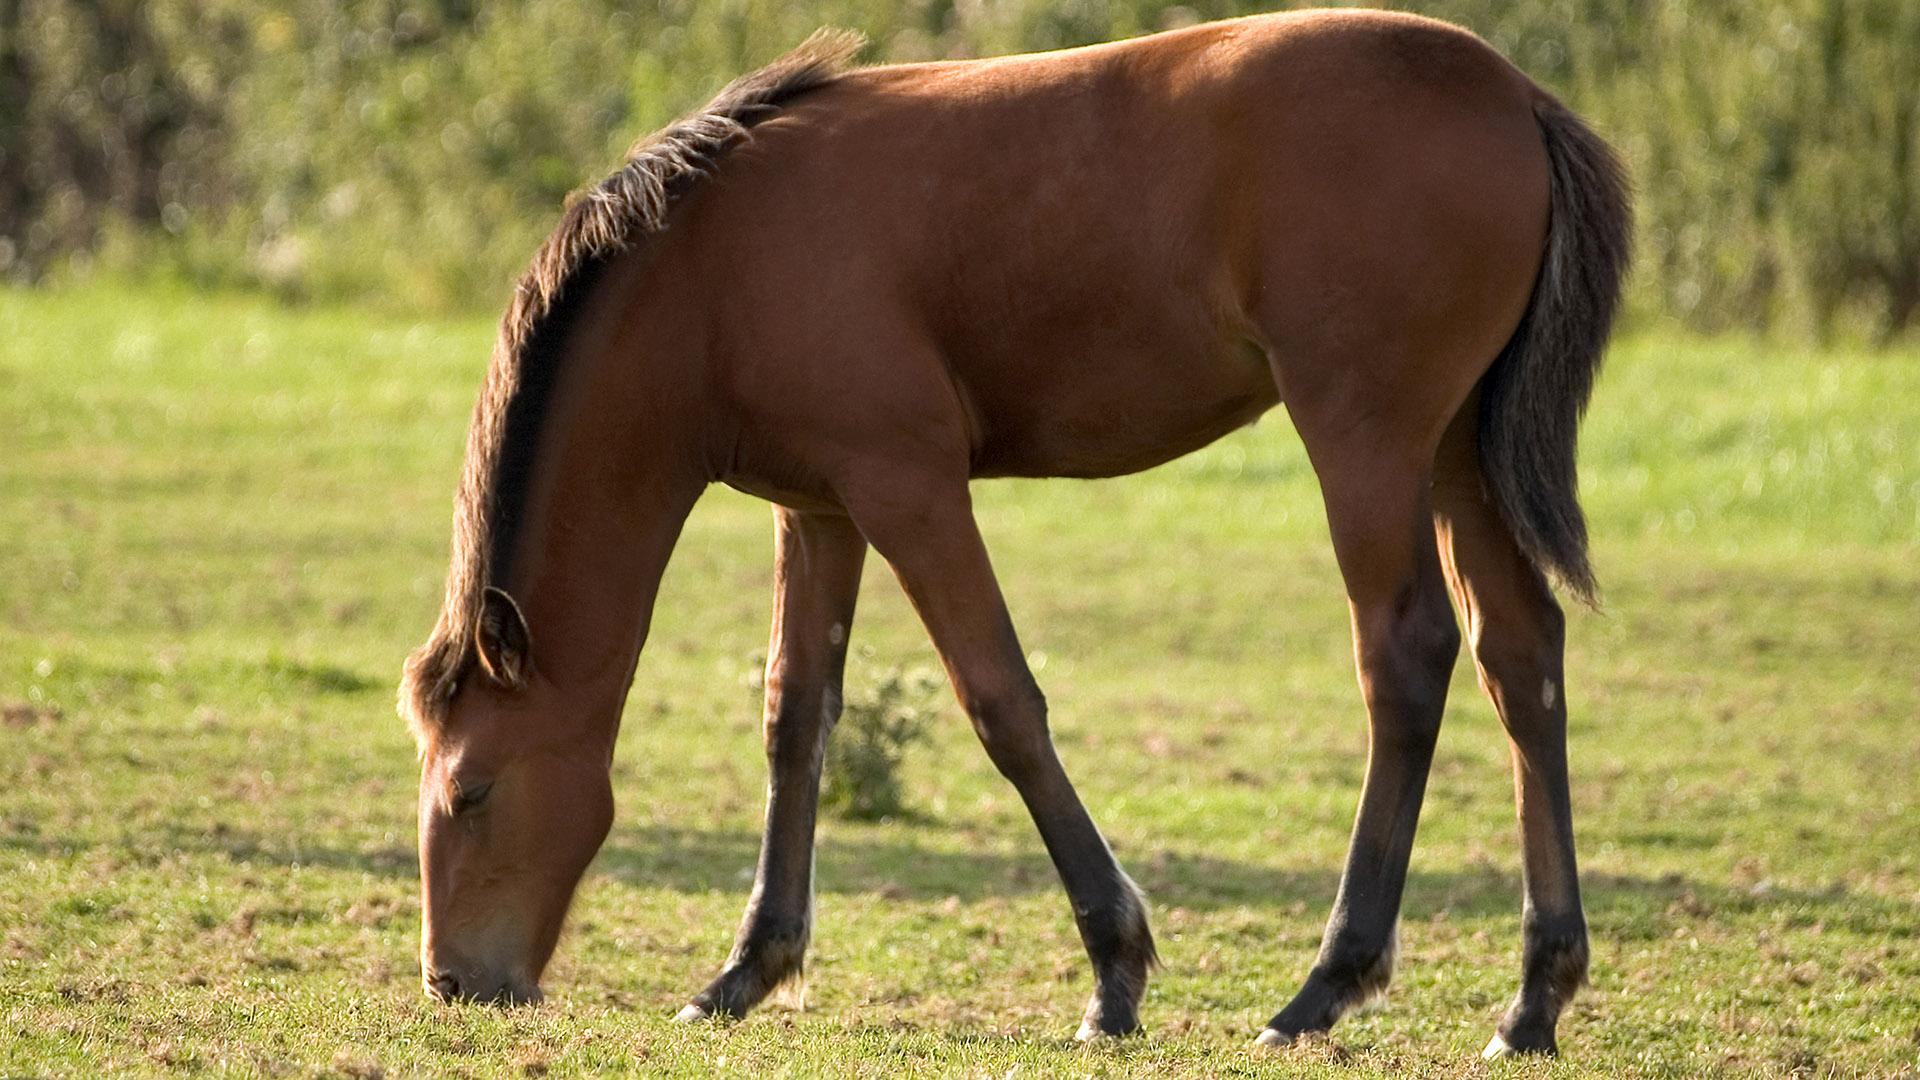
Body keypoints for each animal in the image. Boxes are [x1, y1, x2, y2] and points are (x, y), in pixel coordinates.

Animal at [399, 9, 1629, 1058]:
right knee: (1520, 656)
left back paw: (1326, 984)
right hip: (1457, 454)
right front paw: (747, 971)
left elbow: (1002, 706)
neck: (713, 267)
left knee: (1406, 658)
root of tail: (1515, 96)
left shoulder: (910, 488)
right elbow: (796, 718)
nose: (455, 983)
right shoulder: (821, 507)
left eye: (470, 793)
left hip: (1366, 441)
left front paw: (1115, 974)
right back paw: (1534, 998)